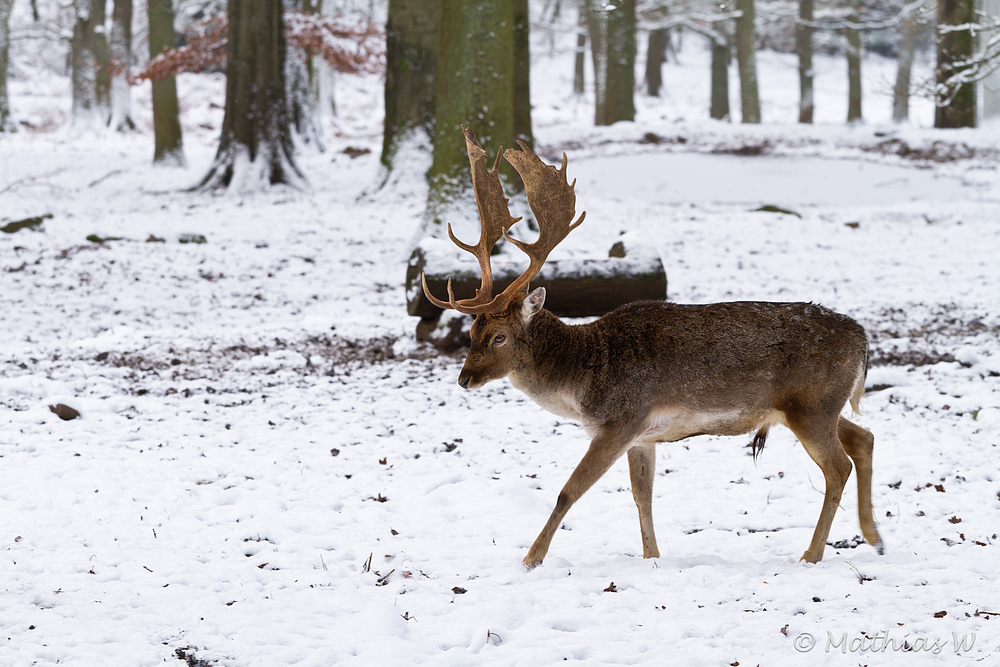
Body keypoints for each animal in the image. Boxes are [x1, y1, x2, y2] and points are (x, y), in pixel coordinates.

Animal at [422, 125, 884, 568]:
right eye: (471, 331)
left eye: (499, 336)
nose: (464, 378)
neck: (585, 378)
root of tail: (862, 339)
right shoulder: (643, 435)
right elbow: (641, 495)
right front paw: (652, 557)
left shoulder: (621, 420)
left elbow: (569, 491)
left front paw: (531, 558)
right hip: (810, 407)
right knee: (864, 437)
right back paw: (874, 536)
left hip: (812, 406)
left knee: (838, 466)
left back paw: (813, 553)